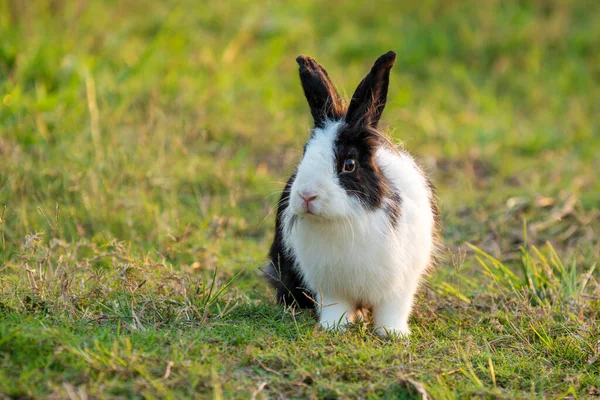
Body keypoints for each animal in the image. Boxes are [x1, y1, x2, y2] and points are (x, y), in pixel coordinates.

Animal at [264, 50, 438, 338]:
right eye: (305, 154)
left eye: (349, 164)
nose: (307, 196)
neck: (344, 219)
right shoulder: (329, 286)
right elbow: (336, 307)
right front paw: (334, 327)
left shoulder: (400, 285)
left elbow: (392, 310)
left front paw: (393, 333)